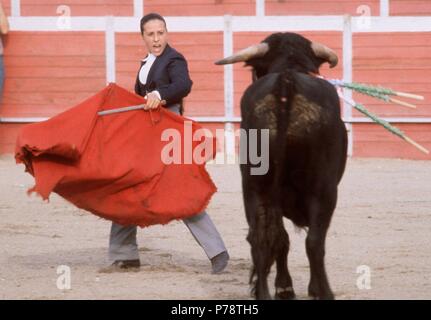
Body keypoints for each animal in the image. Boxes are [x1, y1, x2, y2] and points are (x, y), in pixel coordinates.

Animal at [218, 33, 350, 300]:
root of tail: (286, 82)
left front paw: (283, 286)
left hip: (254, 186)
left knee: (262, 238)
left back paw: (265, 292)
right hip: (324, 189)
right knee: (314, 242)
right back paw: (323, 291)